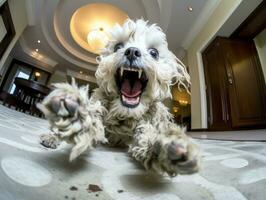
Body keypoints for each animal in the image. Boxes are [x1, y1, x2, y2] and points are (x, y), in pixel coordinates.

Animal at [37, 19, 200, 177]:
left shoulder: (145, 126)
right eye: (118, 47)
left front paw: (166, 147)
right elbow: (91, 117)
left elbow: (147, 137)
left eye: (154, 53)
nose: (132, 52)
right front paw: (74, 120)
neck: (125, 116)